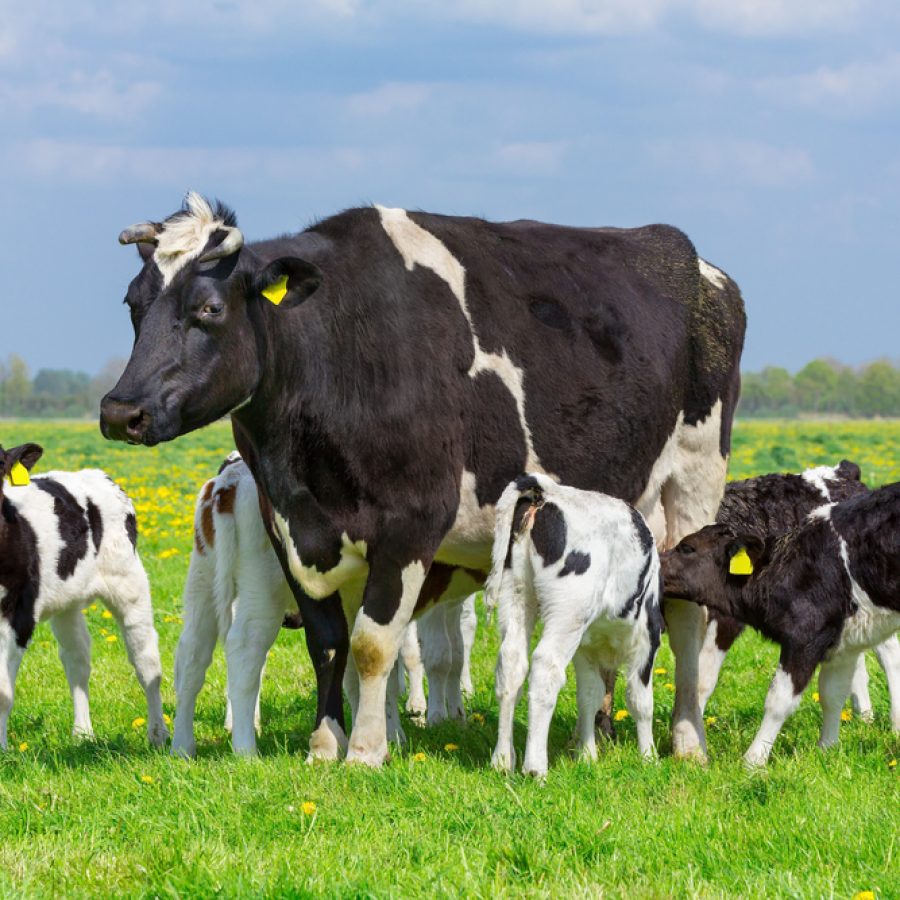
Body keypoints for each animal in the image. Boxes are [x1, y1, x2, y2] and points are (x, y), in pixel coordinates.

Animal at [0, 443, 167, 749]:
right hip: (68, 601)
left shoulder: (18, 613)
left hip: (129, 582)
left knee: (146, 659)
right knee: (77, 660)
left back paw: (158, 734)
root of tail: (97, 475)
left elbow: (3, 692)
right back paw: (82, 734)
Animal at [487, 475, 663, 776]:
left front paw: (586, 755)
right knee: (545, 668)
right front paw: (649, 757)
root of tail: (548, 494)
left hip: (517, 594)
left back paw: (502, 760)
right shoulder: (647, 637)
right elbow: (640, 699)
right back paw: (535, 768)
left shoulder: (585, 646)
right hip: (568, 611)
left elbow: (590, 696)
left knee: (511, 665)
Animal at [661, 482, 900, 766]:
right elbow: (833, 693)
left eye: (687, 547)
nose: (656, 562)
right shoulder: (843, 640)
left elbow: (778, 700)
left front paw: (753, 760)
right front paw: (826, 750)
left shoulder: (804, 637)